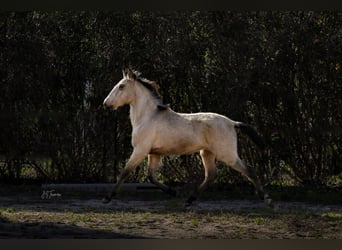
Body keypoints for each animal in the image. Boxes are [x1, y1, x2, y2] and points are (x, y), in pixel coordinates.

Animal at [103, 69, 272, 207]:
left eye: (121, 86)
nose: (105, 104)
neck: (148, 117)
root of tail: (232, 123)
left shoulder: (140, 150)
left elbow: (124, 172)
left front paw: (108, 198)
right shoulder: (154, 153)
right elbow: (151, 177)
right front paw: (173, 192)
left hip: (227, 155)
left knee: (249, 170)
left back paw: (265, 198)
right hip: (207, 153)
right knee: (211, 175)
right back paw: (189, 200)